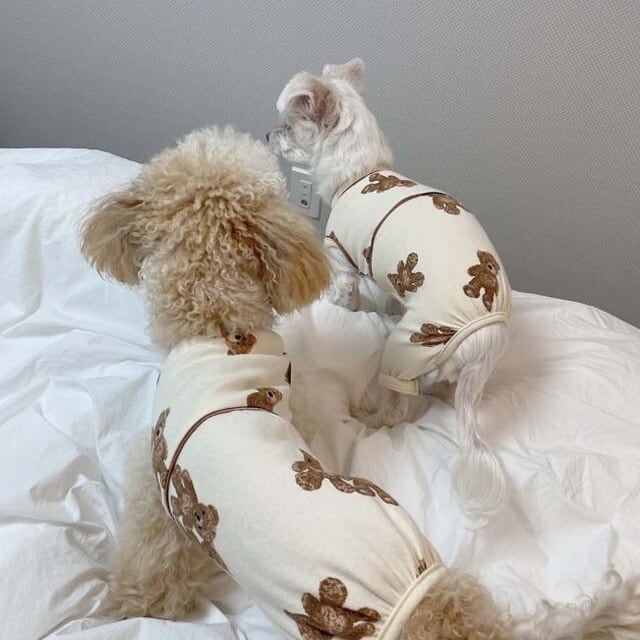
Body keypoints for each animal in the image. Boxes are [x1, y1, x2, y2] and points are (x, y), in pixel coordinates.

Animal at [268, 59, 513, 524]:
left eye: (288, 127)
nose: (269, 135)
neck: (360, 174)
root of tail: (484, 335)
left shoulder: (341, 255)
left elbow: (344, 294)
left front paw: (342, 308)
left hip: (407, 348)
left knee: (399, 407)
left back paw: (371, 413)